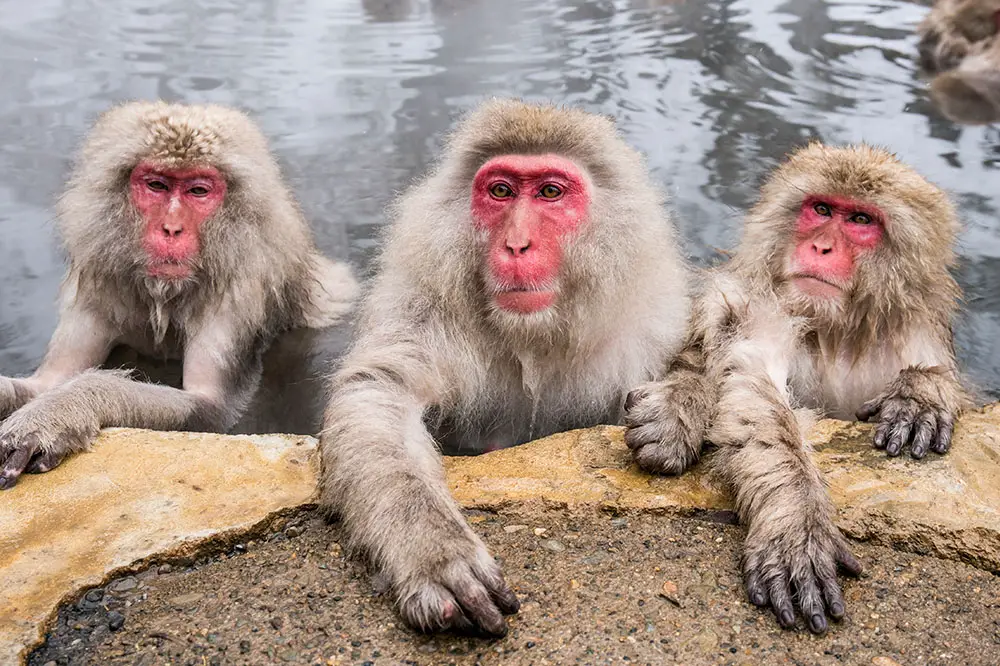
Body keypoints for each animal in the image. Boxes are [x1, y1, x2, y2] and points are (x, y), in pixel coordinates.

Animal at [0, 102, 358, 488]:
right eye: (156, 185)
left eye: (198, 191)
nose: (171, 229)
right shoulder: (100, 287)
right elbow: (45, 382)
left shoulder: (236, 296)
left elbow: (211, 409)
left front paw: (59, 412)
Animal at [316, 97, 692, 632]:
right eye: (501, 191)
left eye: (550, 192)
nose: (516, 245)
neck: (533, 338)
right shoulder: (423, 310)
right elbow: (380, 391)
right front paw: (434, 549)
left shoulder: (653, 325)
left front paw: (677, 412)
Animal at [624, 144, 968, 632]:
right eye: (821, 209)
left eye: (860, 220)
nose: (820, 246)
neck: (834, 333)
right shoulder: (761, 306)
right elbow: (754, 388)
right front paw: (798, 522)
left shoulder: (915, 329)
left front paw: (920, 395)